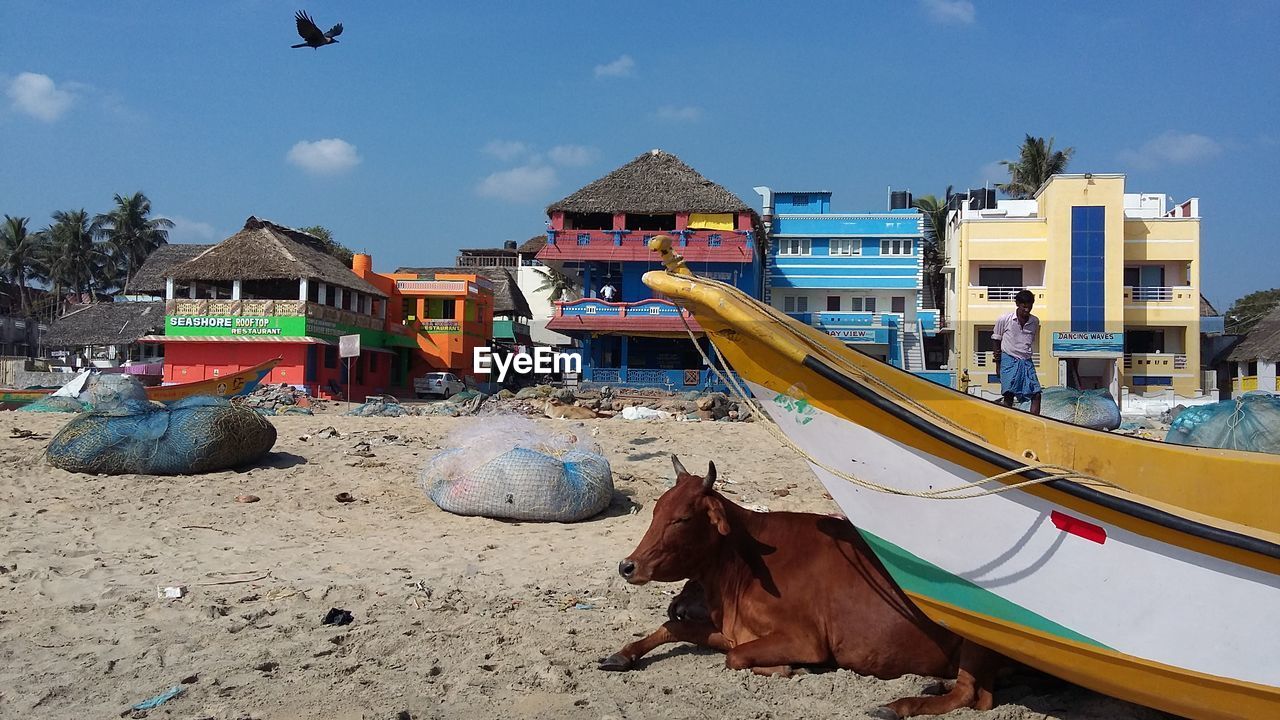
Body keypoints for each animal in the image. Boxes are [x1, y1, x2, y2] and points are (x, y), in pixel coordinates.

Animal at [604, 456, 1003, 712]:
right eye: (657, 511)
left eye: (682, 519)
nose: (627, 566)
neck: (742, 566)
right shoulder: (733, 631)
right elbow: (673, 628)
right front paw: (622, 654)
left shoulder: (805, 640)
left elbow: (736, 658)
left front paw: (788, 669)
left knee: (970, 696)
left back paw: (898, 704)